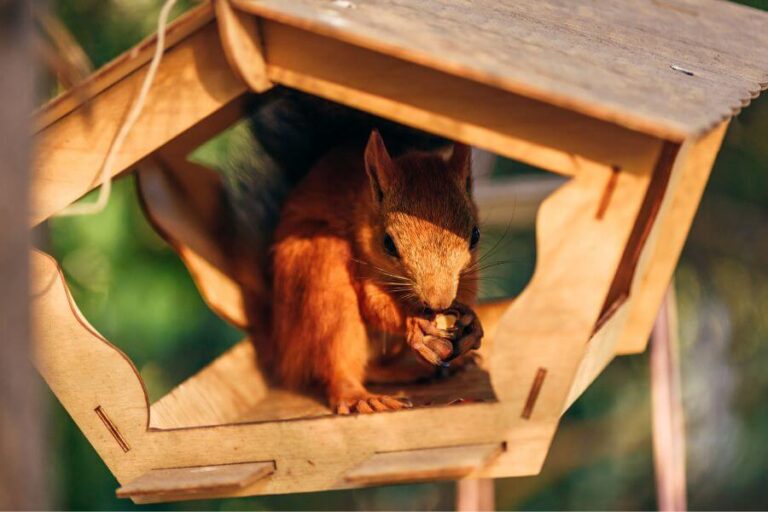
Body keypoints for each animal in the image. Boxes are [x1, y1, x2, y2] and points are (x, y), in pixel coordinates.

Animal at [218, 87, 484, 414]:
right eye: (388, 243)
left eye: (475, 235)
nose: (439, 302)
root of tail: (281, 347)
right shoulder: (362, 266)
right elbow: (375, 304)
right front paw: (411, 319)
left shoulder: (469, 270)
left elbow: (469, 290)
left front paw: (472, 323)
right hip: (323, 284)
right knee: (339, 365)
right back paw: (361, 397)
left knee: (373, 369)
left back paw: (421, 370)